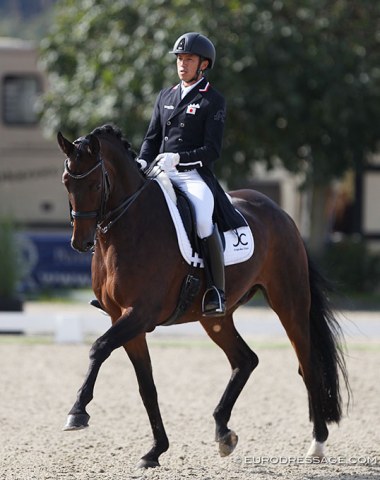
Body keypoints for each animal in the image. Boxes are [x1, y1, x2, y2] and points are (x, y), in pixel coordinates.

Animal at [57, 124, 350, 468]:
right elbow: (147, 387)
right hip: (216, 319)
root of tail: (281, 214)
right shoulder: (125, 320)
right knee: (245, 360)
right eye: (67, 182)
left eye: (93, 182)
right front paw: (155, 451)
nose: (81, 242)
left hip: (289, 304)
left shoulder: (138, 314)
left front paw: (77, 412)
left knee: (308, 367)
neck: (129, 226)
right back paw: (224, 432)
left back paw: (317, 443)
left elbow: (99, 348)